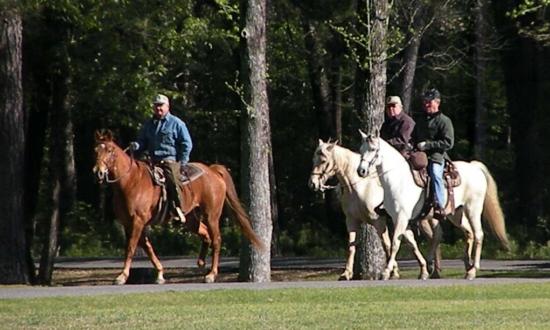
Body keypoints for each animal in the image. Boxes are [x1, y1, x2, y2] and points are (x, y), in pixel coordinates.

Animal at [93, 130, 266, 284]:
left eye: (109, 150)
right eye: (95, 150)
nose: (98, 171)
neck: (130, 182)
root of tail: (213, 171)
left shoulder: (137, 221)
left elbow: (131, 247)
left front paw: (122, 276)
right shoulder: (129, 223)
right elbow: (147, 247)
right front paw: (160, 274)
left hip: (211, 215)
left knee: (216, 239)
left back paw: (211, 274)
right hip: (190, 219)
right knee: (205, 234)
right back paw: (201, 262)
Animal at [310, 141, 444, 280]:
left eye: (323, 160)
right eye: (314, 159)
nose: (313, 183)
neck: (360, 187)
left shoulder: (379, 221)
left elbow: (387, 244)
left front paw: (393, 272)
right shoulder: (351, 221)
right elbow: (351, 246)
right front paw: (346, 273)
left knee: (434, 237)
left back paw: (432, 269)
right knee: (432, 237)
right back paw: (430, 269)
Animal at [356, 130, 512, 280]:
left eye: (373, 149)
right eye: (361, 149)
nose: (361, 171)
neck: (398, 180)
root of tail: (474, 167)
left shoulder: (401, 218)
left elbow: (395, 243)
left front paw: (386, 272)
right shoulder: (400, 219)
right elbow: (412, 243)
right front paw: (424, 270)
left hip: (473, 209)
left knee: (478, 234)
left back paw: (473, 270)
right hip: (456, 214)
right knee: (468, 233)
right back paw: (466, 266)